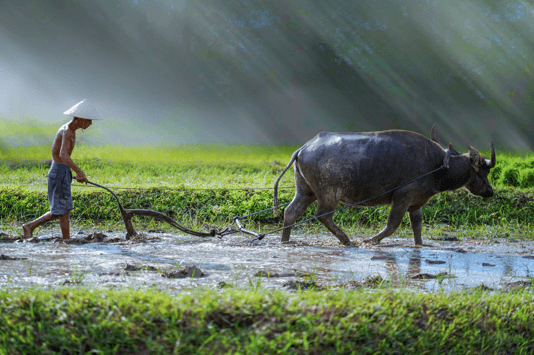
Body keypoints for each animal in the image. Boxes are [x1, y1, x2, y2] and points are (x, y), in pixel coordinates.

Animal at [276, 126, 498, 246]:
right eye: (483, 171)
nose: (490, 191)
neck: (438, 165)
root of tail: (303, 148)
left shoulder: (416, 204)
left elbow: (417, 227)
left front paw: (420, 246)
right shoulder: (402, 197)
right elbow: (392, 225)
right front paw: (369, 241)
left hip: (306, 191)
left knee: (291, 212)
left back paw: (285, 240)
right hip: (329, 194)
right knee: (322, 215)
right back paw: (347, 240)